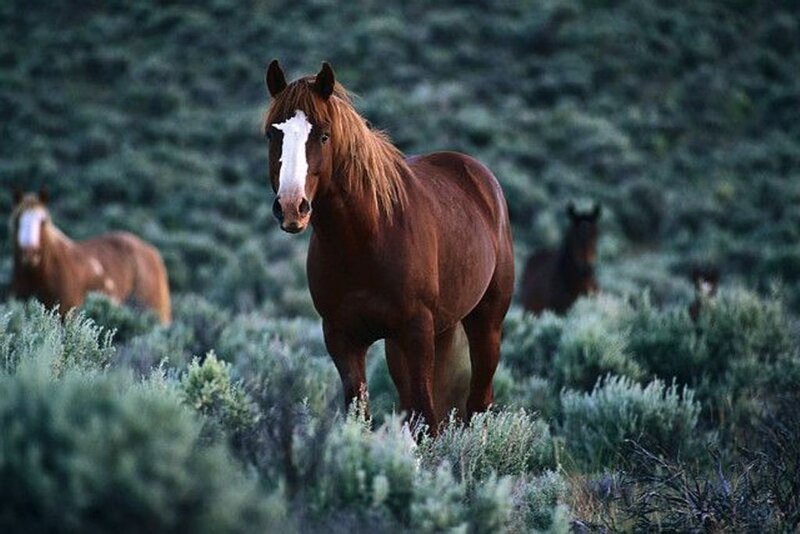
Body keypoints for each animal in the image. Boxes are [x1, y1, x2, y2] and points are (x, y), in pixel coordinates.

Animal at [263, 61, 514, 433]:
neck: (364, 240)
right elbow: (363, 415)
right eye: (273, 134)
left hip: (485, 324)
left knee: (478, 403)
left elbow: (426, 418)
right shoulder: (343, 338)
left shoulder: (416, 332)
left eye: (323, 135)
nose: (292, 207)